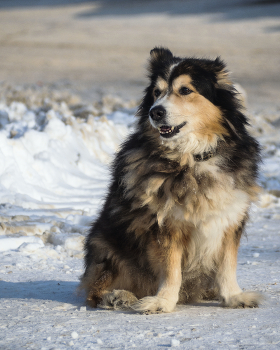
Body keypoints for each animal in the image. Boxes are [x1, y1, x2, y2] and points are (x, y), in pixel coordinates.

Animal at [79, 47, 262, 314]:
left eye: (185, 90)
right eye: (156, 92)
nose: (155, 112)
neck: (191, 157)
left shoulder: (229, 217)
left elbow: (227, 265)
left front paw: (233, 296)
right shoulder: (164, 223)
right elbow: (171, 268)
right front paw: (163, 301)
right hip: (104, 244)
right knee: (95, 289)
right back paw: (117, 296)